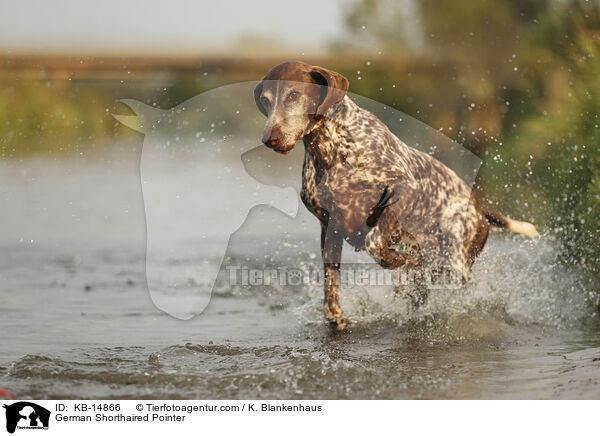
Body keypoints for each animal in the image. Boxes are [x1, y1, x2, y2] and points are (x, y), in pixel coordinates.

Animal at [254, 59, 540, 328]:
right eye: (266, 101)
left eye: (293, 95)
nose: (270, 139)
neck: (329, 150)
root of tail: (480, 211)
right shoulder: (330, 227)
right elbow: (330, 283)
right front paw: (335, 315)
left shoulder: (402, 188)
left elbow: (374, 241)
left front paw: (393, 257)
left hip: (455, 262)